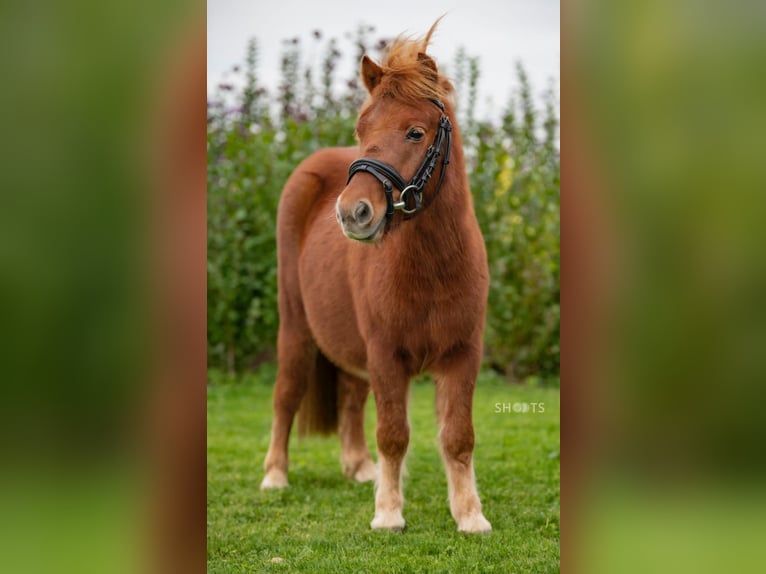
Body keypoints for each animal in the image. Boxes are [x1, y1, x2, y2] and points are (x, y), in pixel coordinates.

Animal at [262, 22, 492, 536]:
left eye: (415, 132)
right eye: (362, 129)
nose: (353, 212)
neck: (432, 268)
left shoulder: (462, 353)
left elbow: (458, 435)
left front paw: (470, 515)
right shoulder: (387, 353)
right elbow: (393, 433)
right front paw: (388, 513)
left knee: (350, 397)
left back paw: (358, 468)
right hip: (296, 328)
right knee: (286, 395)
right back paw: (274, 476)